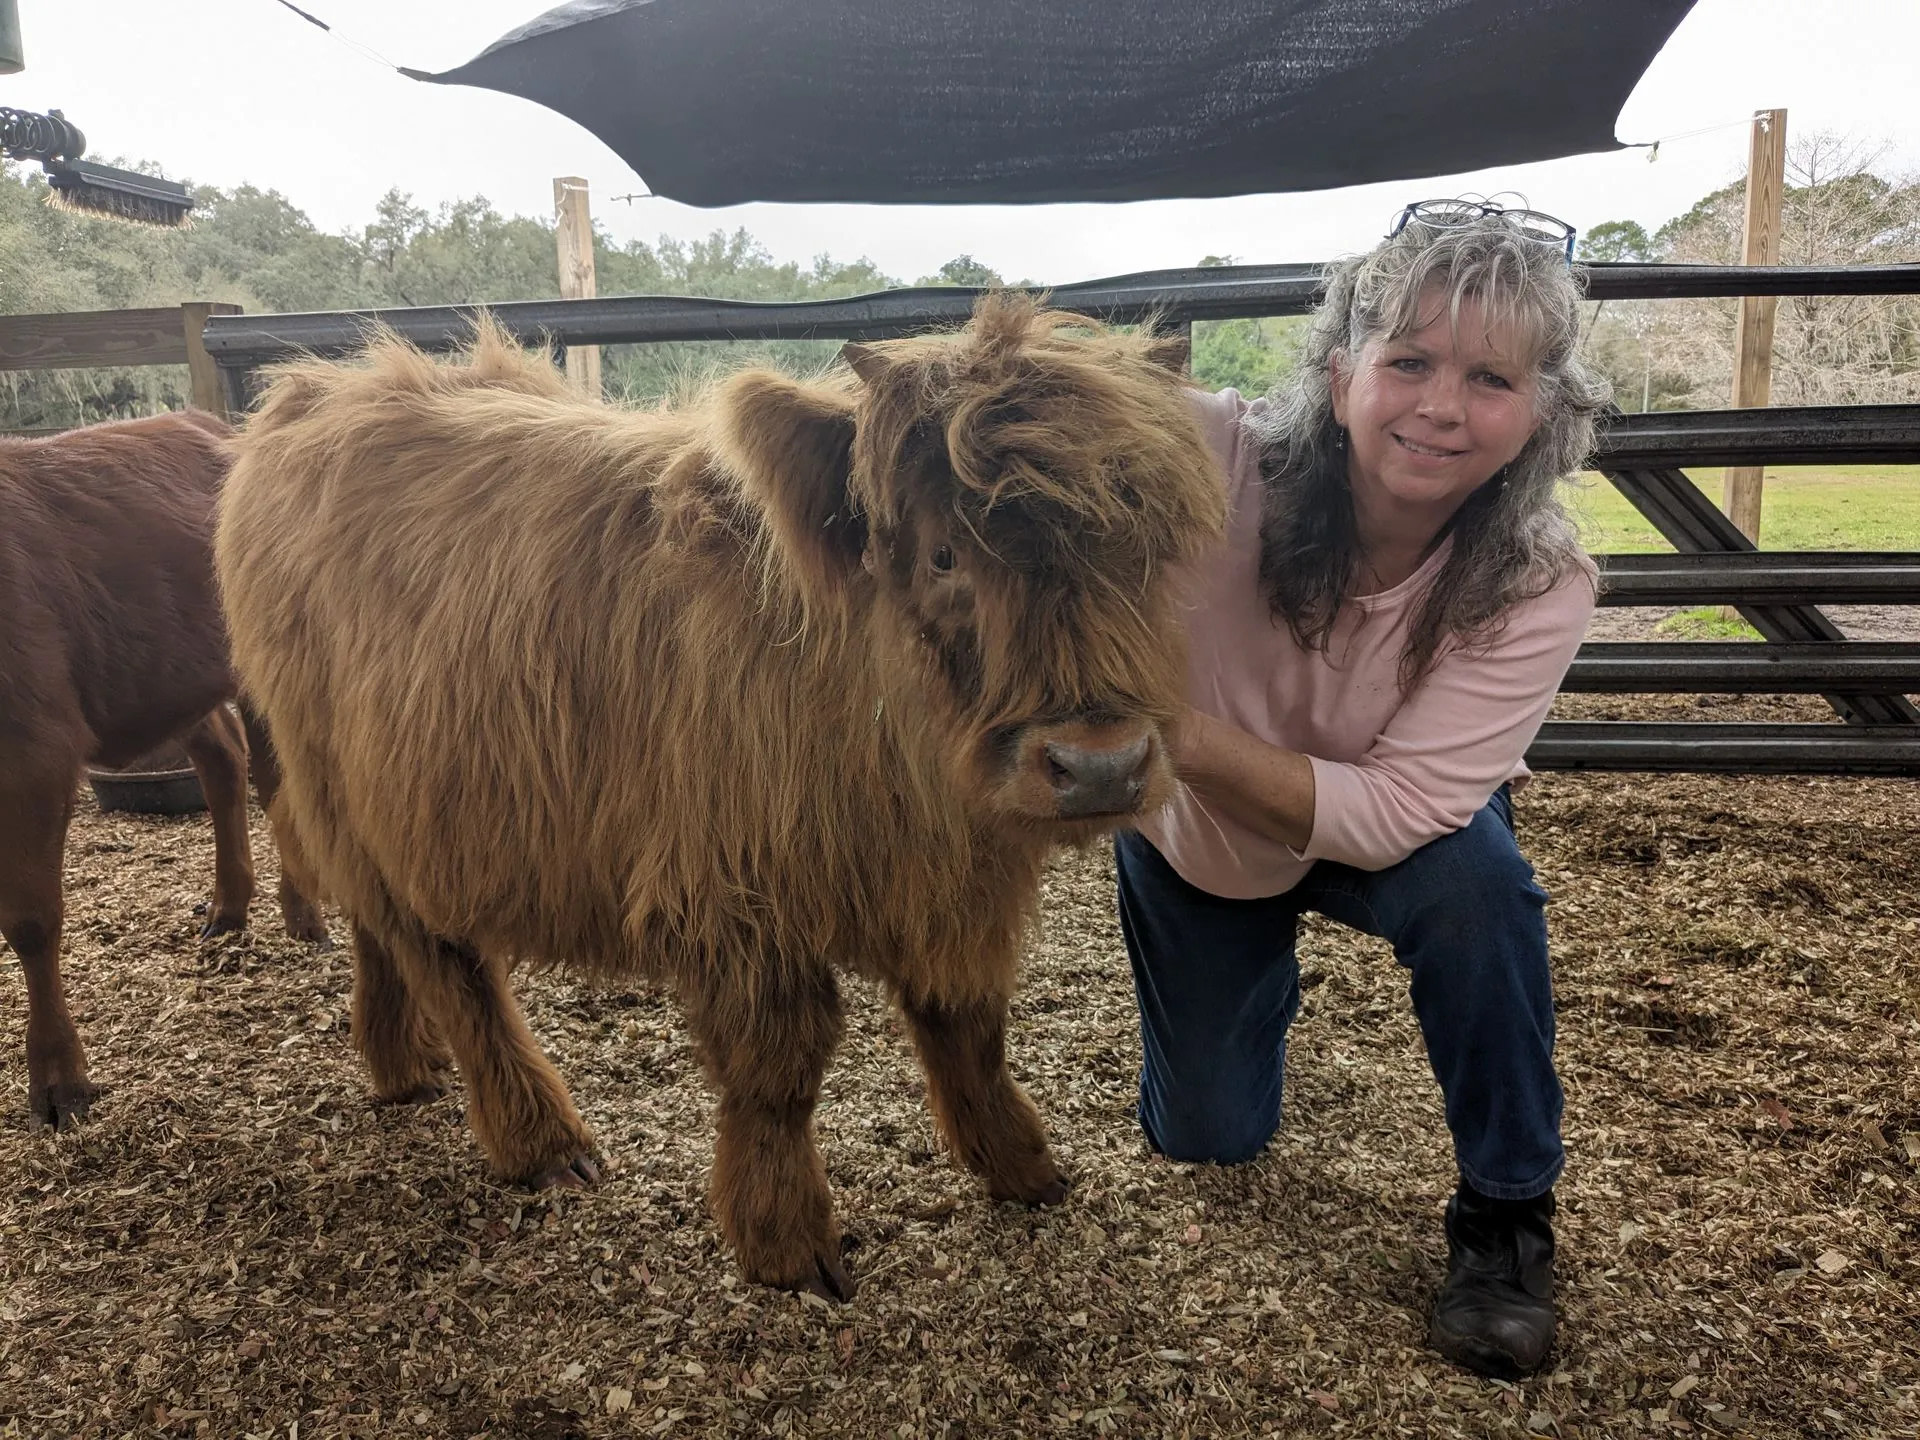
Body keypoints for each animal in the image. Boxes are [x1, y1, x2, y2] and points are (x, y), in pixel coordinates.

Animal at [1, 411, 328, 1130]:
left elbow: (31, 921)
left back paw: (303, 916)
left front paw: (59, 1080)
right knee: (223, 758)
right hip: (176, 672)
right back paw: (229, 908)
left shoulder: (34, 750)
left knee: (273, 779)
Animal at [215, 296, 1225, 1299]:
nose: (1100, 764)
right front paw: (787, 1245)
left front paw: (1021, 1164)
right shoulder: (739, 903)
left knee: (377, 929)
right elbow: (780, 1068)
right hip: (354, 794)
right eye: (943, 555)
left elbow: (968, 1027)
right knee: (444, 961)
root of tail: (320, 389)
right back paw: (541, 1141)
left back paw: (403, 1064)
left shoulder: (950, 888)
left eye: (1146, 549)